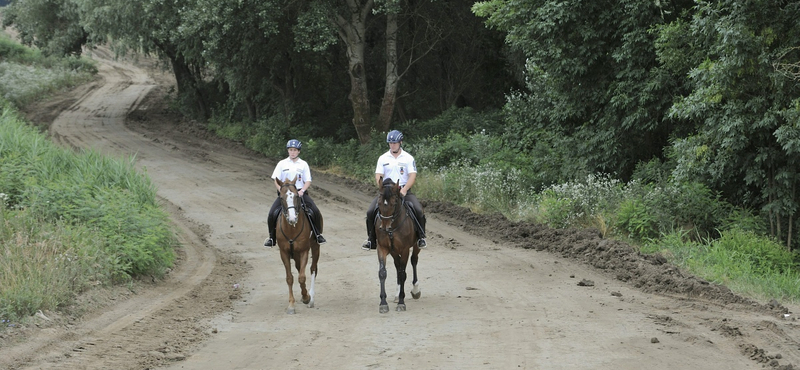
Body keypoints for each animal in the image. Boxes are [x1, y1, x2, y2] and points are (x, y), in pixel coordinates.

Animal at [276, 176, 320, 312]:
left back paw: (311, 299)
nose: (292, 219)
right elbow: (290, 278)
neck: (292, 228)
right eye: (281, 197)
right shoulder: (284, 253)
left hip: (315, 247)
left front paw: (306, 297)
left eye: (296, 196)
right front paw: (291, 305)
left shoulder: (304, 250)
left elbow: (302, 277)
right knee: (299, 267)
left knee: (313, 269)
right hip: (294, 254)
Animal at [376, 178, 424, 312]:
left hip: (416, 246)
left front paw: (402, 303)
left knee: (414, 261)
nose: (384, 227)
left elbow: (403, 274)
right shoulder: (382, 248)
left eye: (393, 203)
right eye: (379, 203)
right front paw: (383, 303)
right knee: (398, 267)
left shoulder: (404, 250)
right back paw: (397, 295)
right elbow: (382, 273)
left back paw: (415, 290)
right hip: (393, 251)